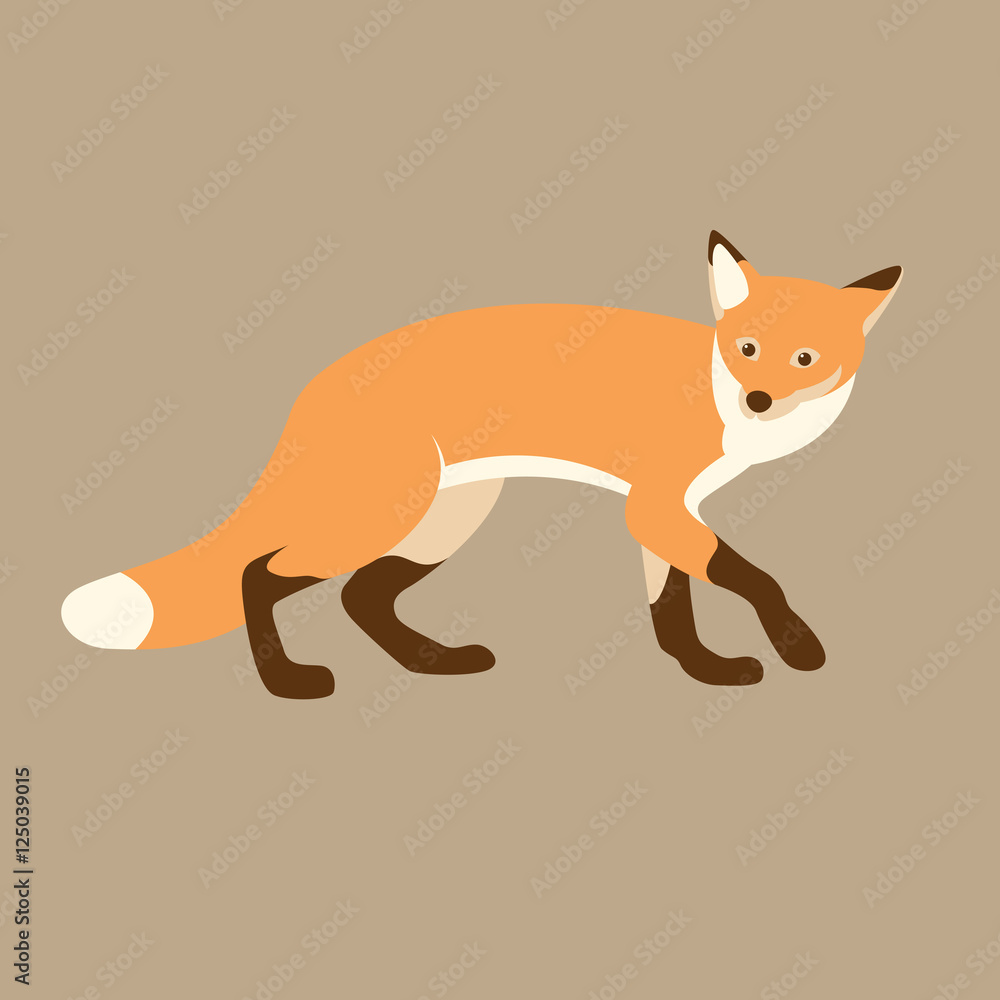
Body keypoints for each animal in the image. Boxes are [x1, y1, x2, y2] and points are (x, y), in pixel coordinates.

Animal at [61, 231, 902, 699]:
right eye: (748, 347)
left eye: (805, 359)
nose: (759, 399)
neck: (714, 391)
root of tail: (321, 381)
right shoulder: (659, 505)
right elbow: (753, 578)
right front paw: (797, 645)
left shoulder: (661, 511)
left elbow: (671, 608)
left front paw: (704, 669)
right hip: (385, 512)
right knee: (257, 574)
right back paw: (289, 683)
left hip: (445, 520)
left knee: (361, 596)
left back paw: (432, 662)